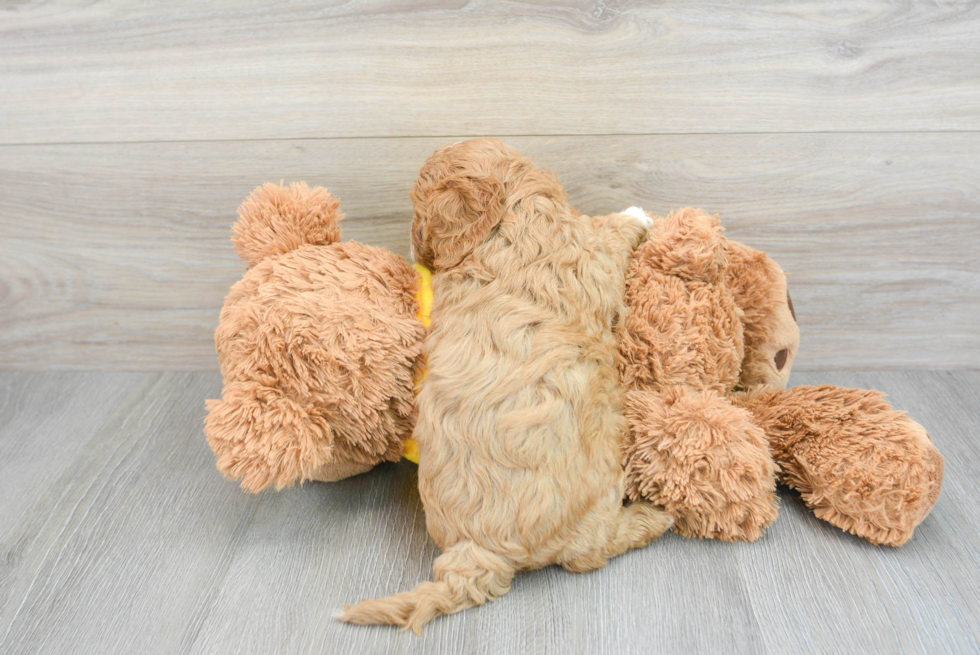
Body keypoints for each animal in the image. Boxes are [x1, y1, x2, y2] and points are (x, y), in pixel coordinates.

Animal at [338, 140, 672, 636]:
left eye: (418, 211)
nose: (414, 248)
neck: (512, 219)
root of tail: (479, 553)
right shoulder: (595, 253)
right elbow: (611, 230)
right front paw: (636, 214)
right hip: (594, 512)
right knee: (594, 552)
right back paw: (653, 516)